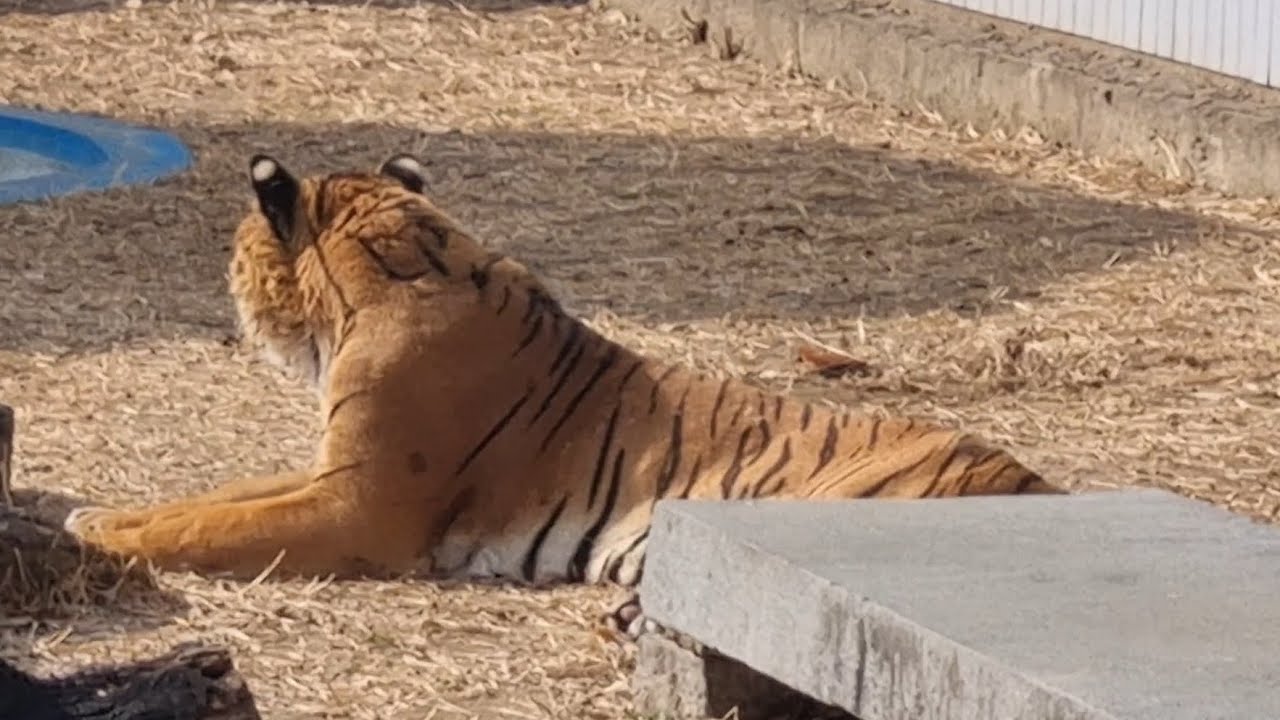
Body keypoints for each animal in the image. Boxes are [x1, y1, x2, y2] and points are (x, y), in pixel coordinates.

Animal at [65, 152, 1065, 637]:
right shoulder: (328, 472)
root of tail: (1044, 490)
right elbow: (211, 499)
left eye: (237, 250)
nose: (227, 284)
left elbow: (212, 529)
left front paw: (103, 540)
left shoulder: (359, 506)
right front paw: (98, 513)